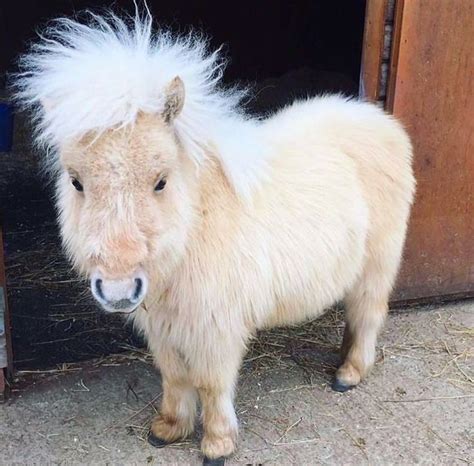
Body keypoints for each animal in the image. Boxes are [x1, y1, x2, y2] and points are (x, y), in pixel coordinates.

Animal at [13, 10, 414, 462]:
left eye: (161, 181)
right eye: (76, 181)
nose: (118, 290)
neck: (194, 230)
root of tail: (381, 122)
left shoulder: (215, 330)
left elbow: (211, 383)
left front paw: (218, 443)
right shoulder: (164, 328)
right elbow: (173, 377)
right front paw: (169, 429)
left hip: (377, 267)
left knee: (368, 316)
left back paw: (349, 373)